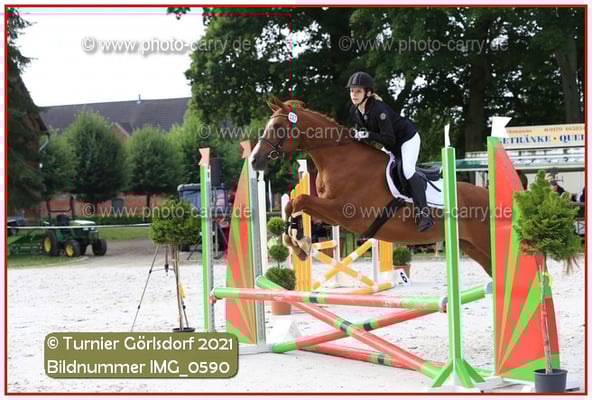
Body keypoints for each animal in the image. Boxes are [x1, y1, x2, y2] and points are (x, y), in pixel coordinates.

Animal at [250, 99, 492, 277]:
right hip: (473, 248)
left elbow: (300, 201)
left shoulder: (345, 212)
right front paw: (299, 244)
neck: (339, 159)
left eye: (278, 127)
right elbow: (292, 205)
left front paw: (301, 244)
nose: (254, 161)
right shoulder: (329, 214)